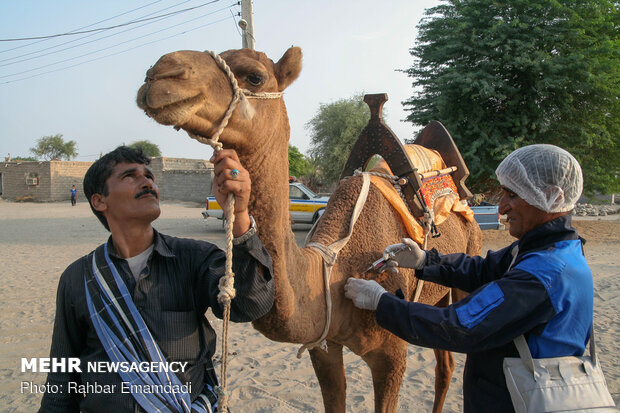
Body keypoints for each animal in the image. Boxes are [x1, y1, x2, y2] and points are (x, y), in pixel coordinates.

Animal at [138, 46, 482, 410]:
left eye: (254, 76)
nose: (160, 73)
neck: (334, 271)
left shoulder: (392, 354)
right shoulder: (323, 347)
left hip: (468, 257)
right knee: (445, 361)